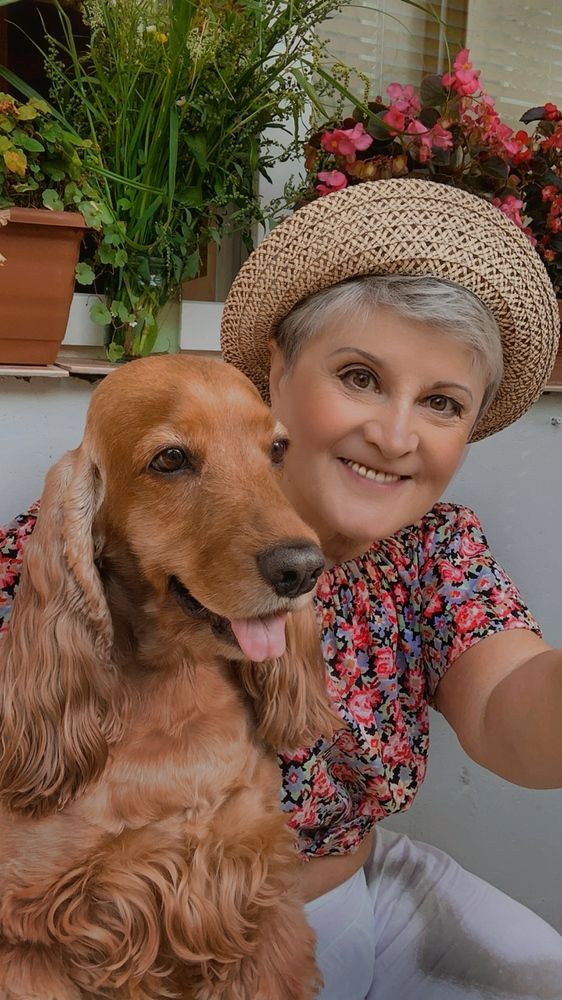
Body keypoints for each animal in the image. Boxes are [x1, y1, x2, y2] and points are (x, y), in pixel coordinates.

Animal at [0, 354, 337, 999]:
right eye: (171, 459)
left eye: (277, 448)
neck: (176, 694)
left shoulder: (255, 893)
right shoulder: (31, 940)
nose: (304, 568)